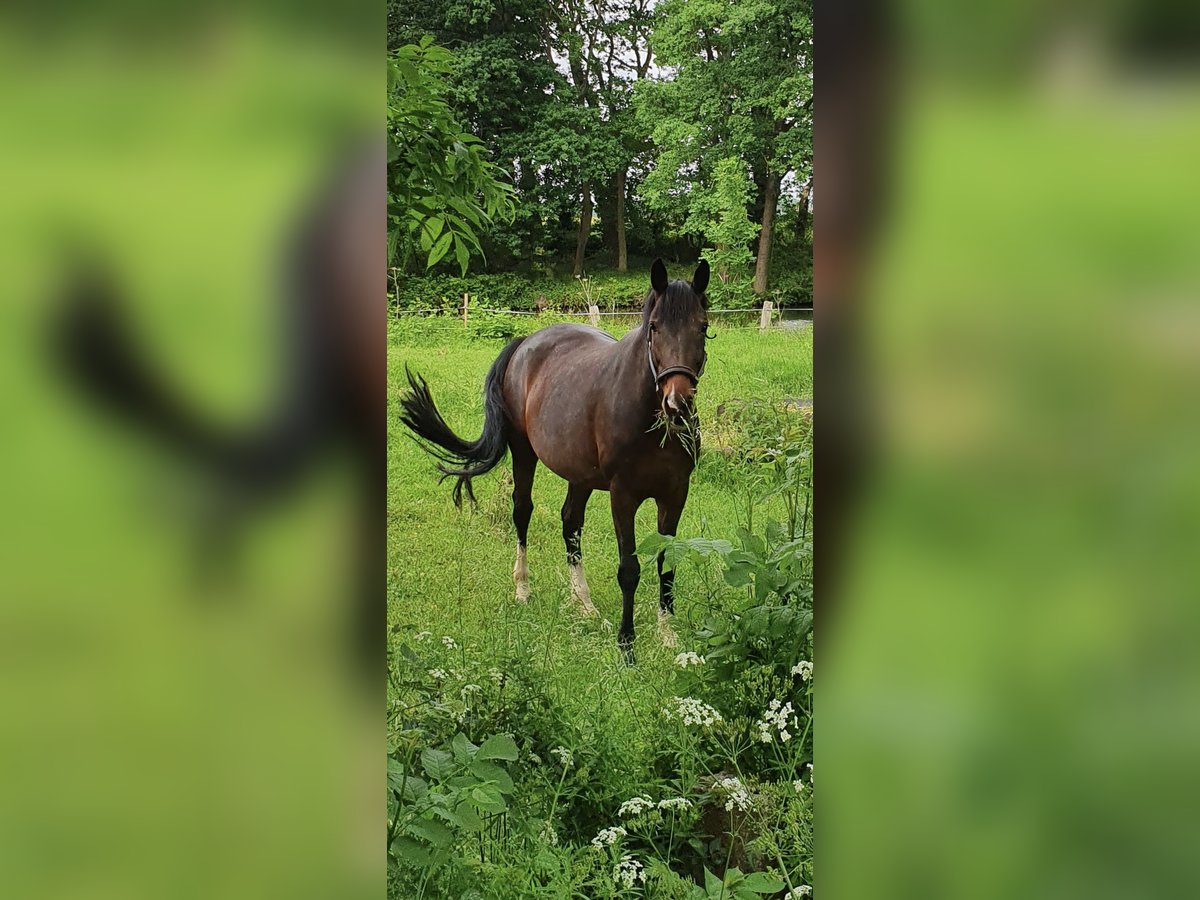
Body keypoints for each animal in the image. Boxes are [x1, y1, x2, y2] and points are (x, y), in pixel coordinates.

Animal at [398, 259, 705, 657]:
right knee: (522, 511)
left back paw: (584, 604)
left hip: (580, 475)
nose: (676, 403)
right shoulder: (623, 496)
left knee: (571, 523)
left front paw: (669, 638)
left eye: (703, 327)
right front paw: (627, 646)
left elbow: (667, 564)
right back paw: (523, 589)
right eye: (654, 327)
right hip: (524, 453)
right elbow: (629, 569)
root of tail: (524, 344)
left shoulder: (674, 494)